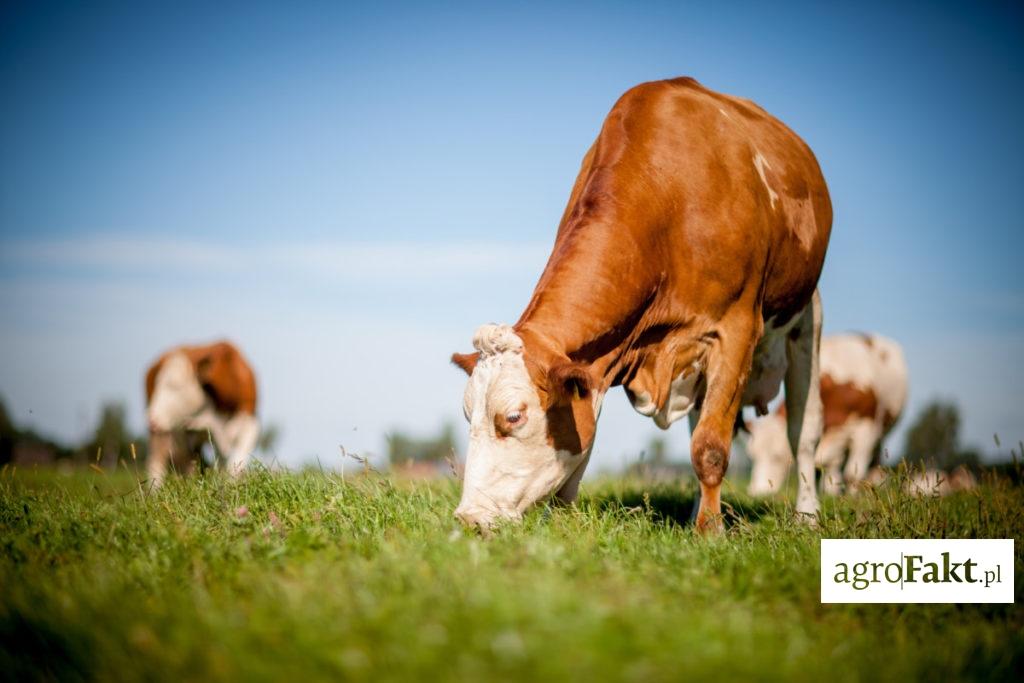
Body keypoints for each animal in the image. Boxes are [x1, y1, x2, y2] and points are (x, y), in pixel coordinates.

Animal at [145, 342, 260, 485]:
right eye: (157, 385)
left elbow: (235, 465)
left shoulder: (250, 425)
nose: (151, 419)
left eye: (176, 386)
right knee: (158, 462)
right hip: (164, 435)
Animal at [448, 77, 831, 532]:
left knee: (803, 430)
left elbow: (711, 446)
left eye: (514, 417)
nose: (469, 517)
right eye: (468, 416)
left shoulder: (736, 329)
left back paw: (806, 515)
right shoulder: (599, 361)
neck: (669, 199)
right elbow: (585, 449)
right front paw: (562, 524)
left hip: (805, 317)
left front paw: (711, 532)